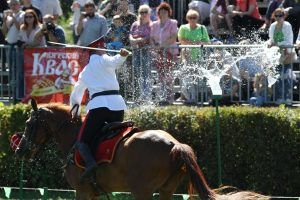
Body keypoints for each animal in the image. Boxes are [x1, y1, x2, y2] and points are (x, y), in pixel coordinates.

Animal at [15, 99, 270, 199]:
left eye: (28, 124)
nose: (20, 150)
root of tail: (174, 145)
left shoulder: (82, 191)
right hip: (166, 190)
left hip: (142, 190)